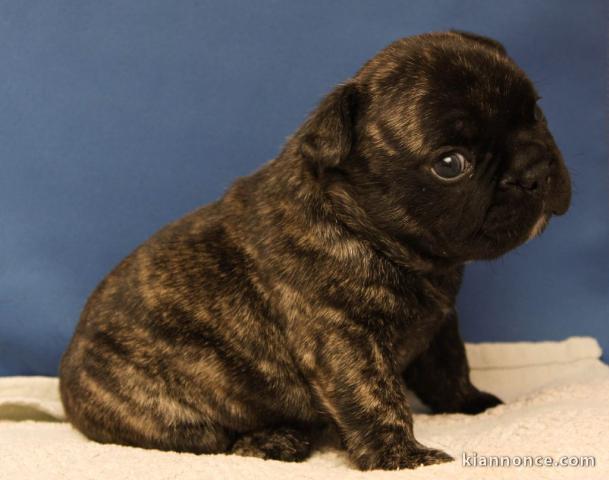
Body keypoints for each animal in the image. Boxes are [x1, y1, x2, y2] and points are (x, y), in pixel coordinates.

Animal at [58, 31, 568, 470]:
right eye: (450, 164)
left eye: (537, 114)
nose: (534, 168)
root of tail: (68, 387)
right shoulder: (344, 340)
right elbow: (375, 399)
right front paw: (403, 458)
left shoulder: (439, 323)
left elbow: (449, 367)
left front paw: (472, 403)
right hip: (168, 407)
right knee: (210, 437)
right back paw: (273, 439)